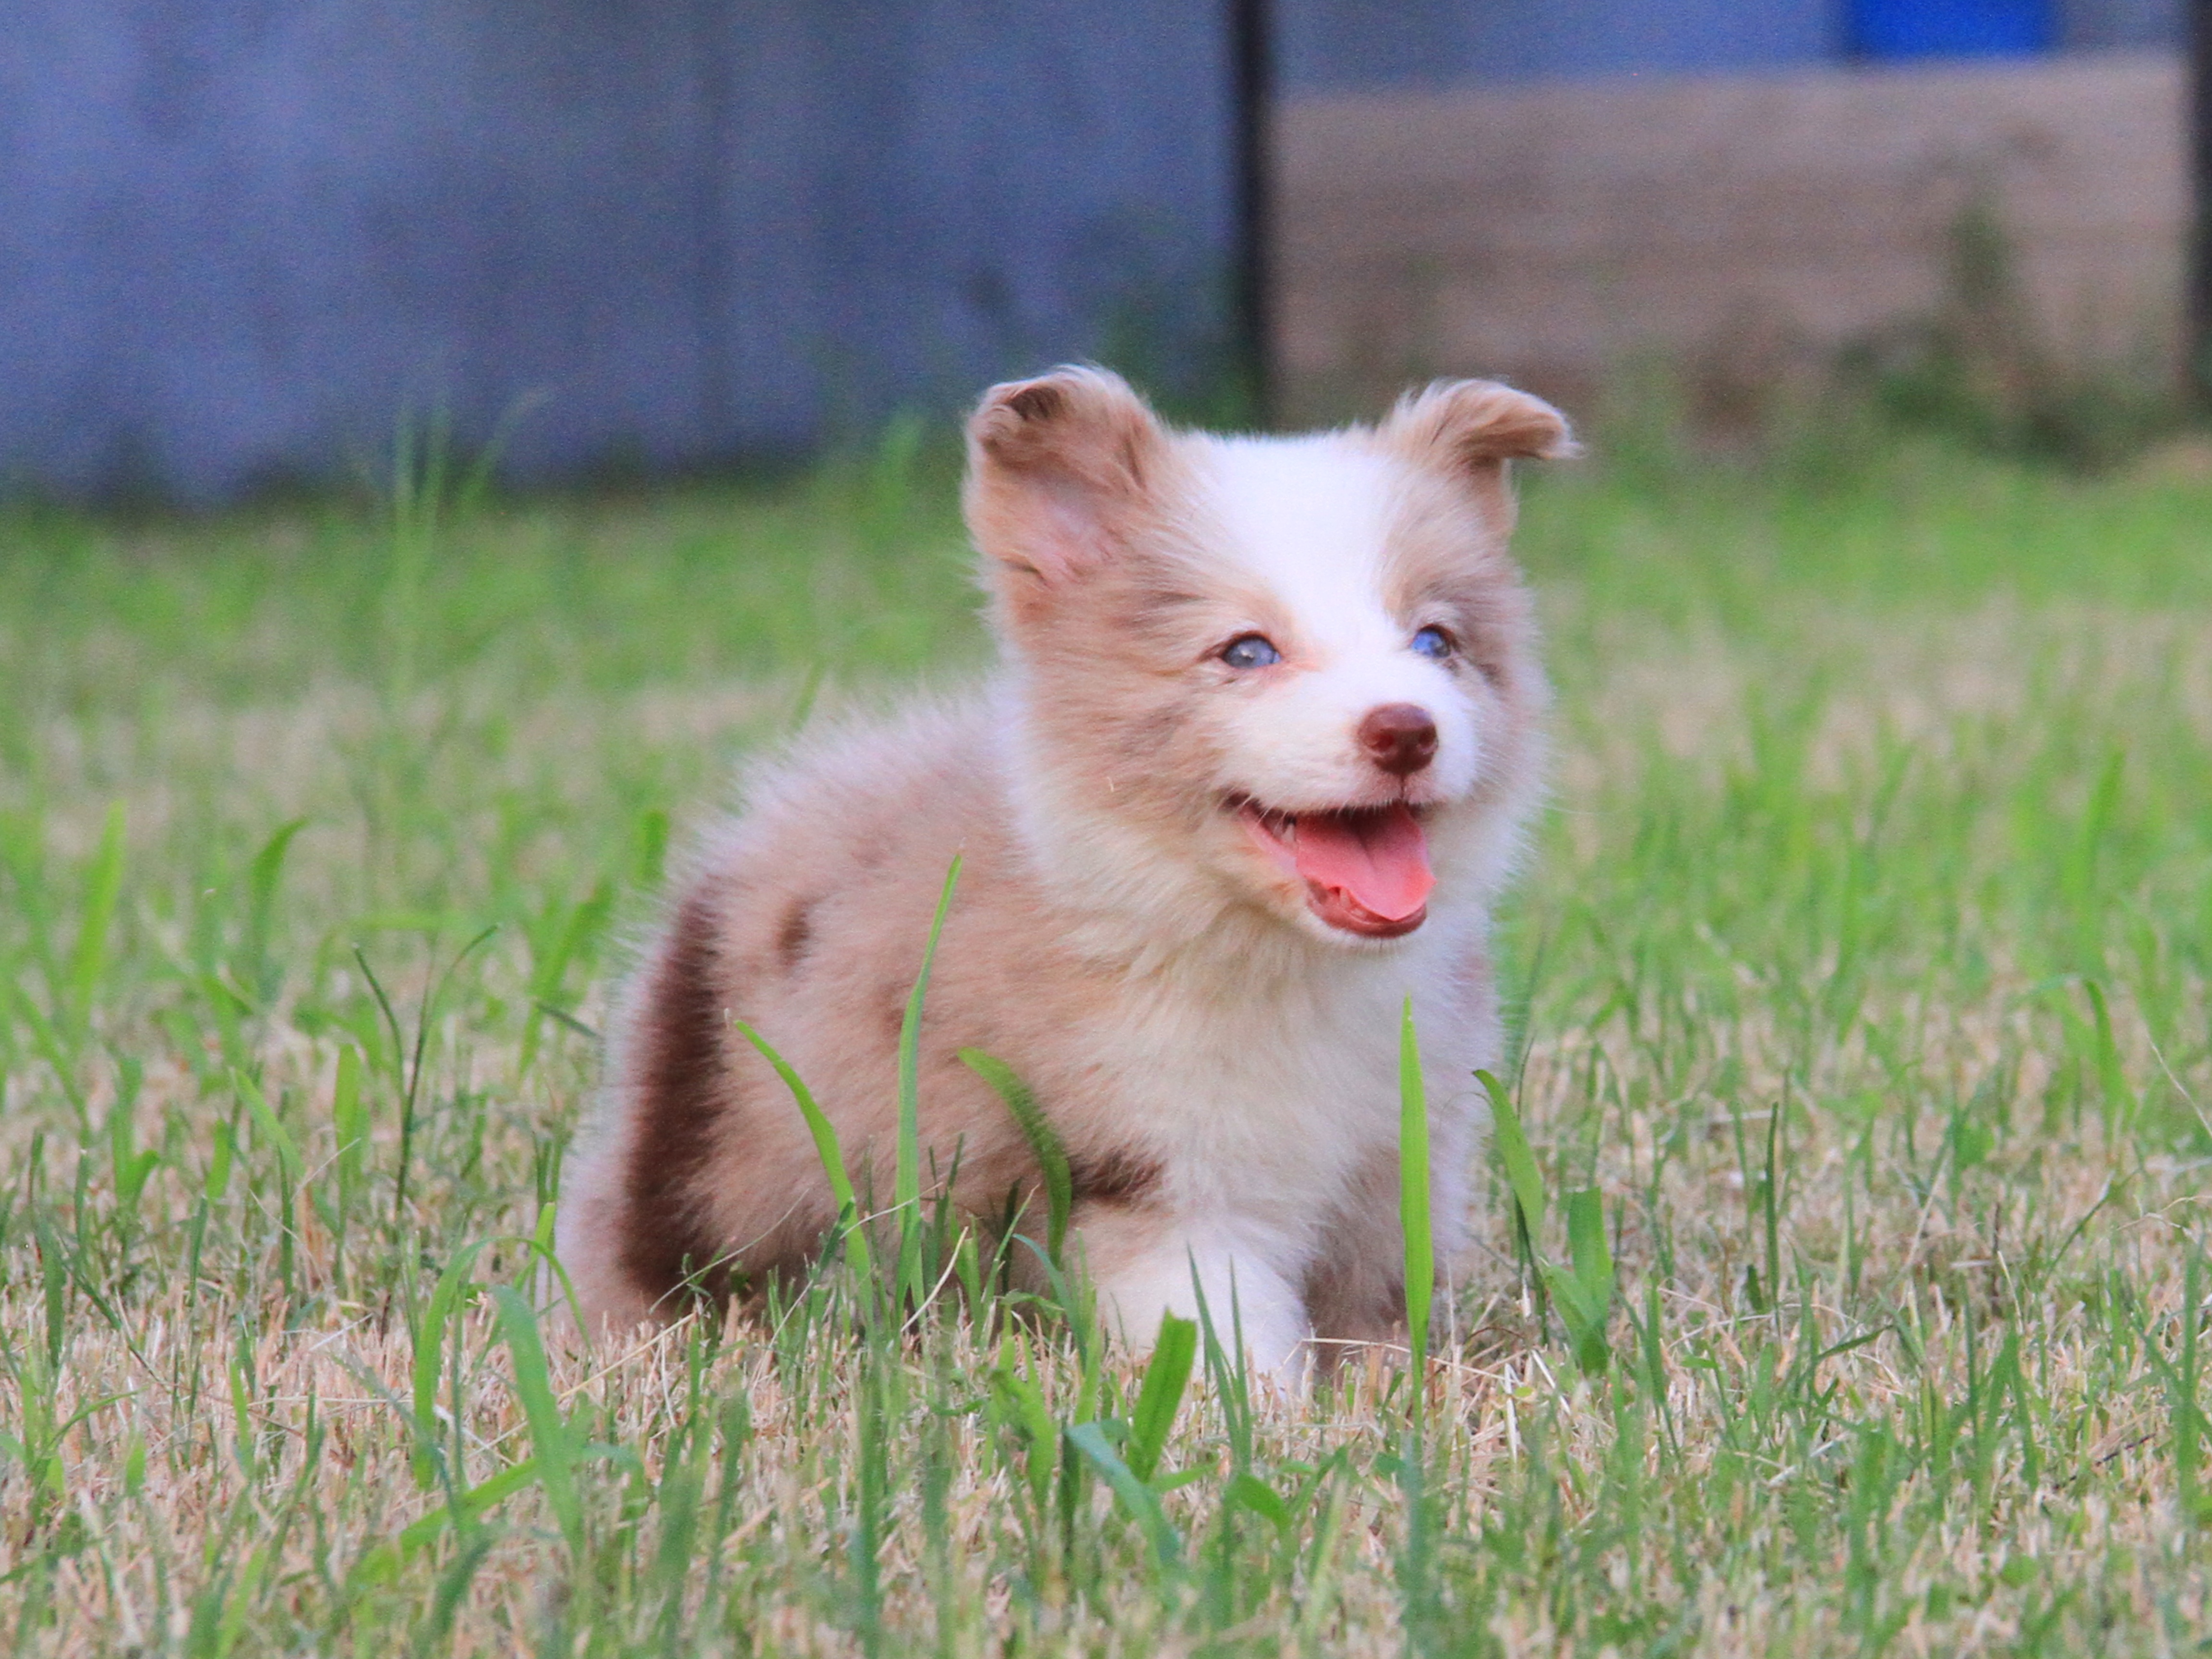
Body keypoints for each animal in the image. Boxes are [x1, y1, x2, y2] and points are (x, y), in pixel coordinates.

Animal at [553, 367, 1575, 1380]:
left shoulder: (1397, 1156)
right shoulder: (1149, 1174)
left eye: (1434, 643)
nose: (1406, 729)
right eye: (1246, 651)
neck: (1273, 962)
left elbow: (1375, 1312)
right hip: (717, 1137)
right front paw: (1263, 1411)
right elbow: (1215, 1328)